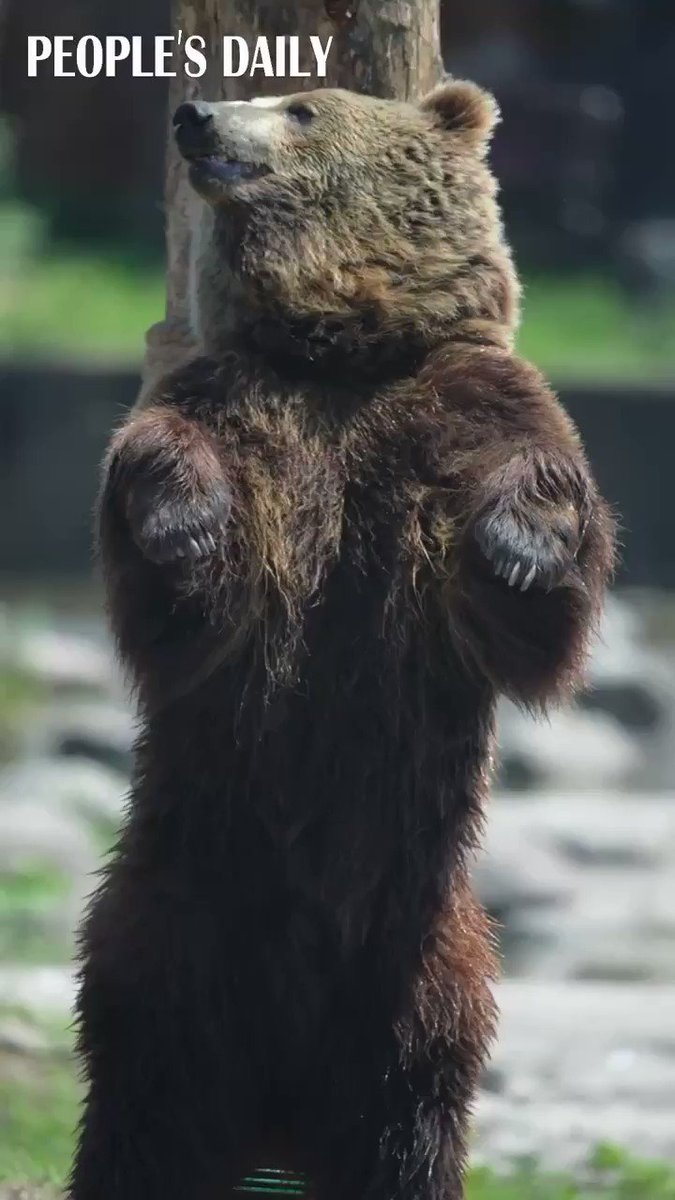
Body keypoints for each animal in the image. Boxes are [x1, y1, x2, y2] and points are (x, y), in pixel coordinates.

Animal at [70, 84, 612, 1200]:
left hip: (422, 962)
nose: (196, 115)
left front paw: (521, 544)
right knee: (145, 1110)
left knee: (406, 1122)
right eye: (270, 92)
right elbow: (174, 532)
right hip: (163, 937)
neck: (339, 355)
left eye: (302, 107)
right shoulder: (228, 400)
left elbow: (538, 545)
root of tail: (276, 1117)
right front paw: (179, 523)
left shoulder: (466, 398)